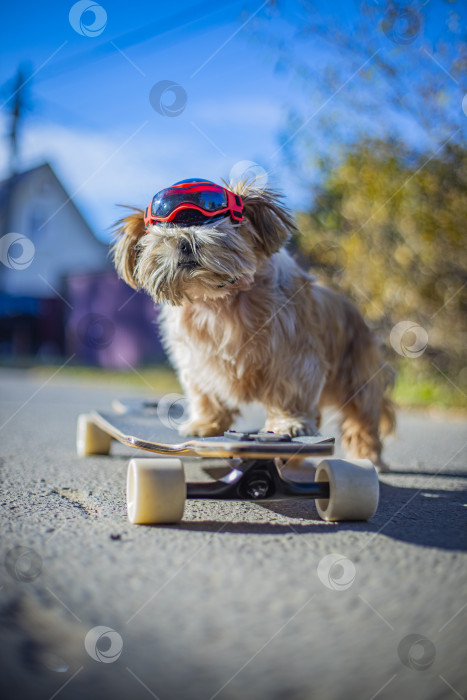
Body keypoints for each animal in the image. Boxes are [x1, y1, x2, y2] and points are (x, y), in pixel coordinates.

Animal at [113, 178, 394, 468]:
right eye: (166, 229)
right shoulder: (197, 361)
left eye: (215, 221)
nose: (185, 241)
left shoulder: (294, 358)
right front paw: (205, 424)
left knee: (362, 420)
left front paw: (287, 423)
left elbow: (289, 391)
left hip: (357, 379)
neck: (220, 301)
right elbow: (206, 394)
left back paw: (367, 457)